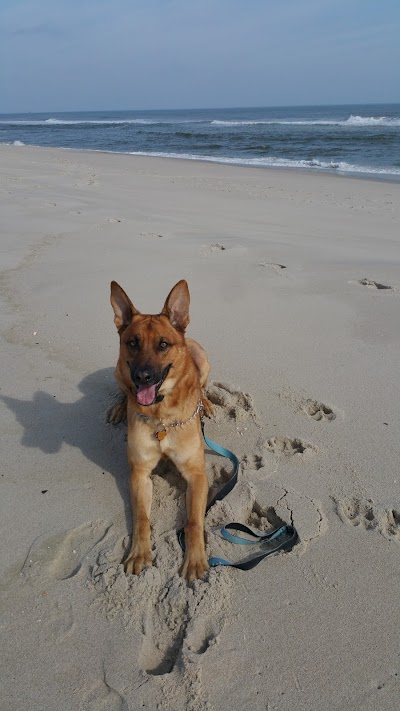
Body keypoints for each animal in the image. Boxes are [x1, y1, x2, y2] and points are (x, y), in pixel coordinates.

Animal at [109, 280, 212, 580]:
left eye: (163, 344)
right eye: (132, 343)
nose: (142, 377)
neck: (161, 419)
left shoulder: (197, 475)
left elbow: (193, 521)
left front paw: (195, 560)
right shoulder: (139, 474)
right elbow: (142, 518)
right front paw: (139, 553)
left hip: (203, 360)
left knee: (202, 387)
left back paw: (206, 404)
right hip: (118, 372)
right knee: (124, 392)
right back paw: (120, 408)